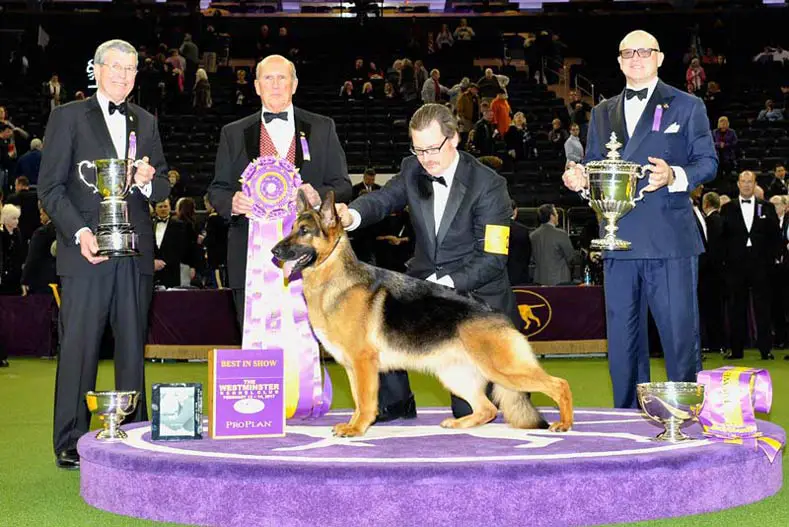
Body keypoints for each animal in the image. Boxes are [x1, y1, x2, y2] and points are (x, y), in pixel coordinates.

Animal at [272, 190, 572, 438]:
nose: (274, 251)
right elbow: (357, 400)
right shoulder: (352, 367)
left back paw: (565, 423)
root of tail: (499, 315)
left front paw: (357, 429)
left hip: (504, 369)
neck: (335, 280)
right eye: (291, 229)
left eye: (304, 231)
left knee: (559, 384)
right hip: (456, 376)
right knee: (487, 408)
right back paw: (459, 423)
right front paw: (354, 424)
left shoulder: (363, 363)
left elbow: (366, 401)